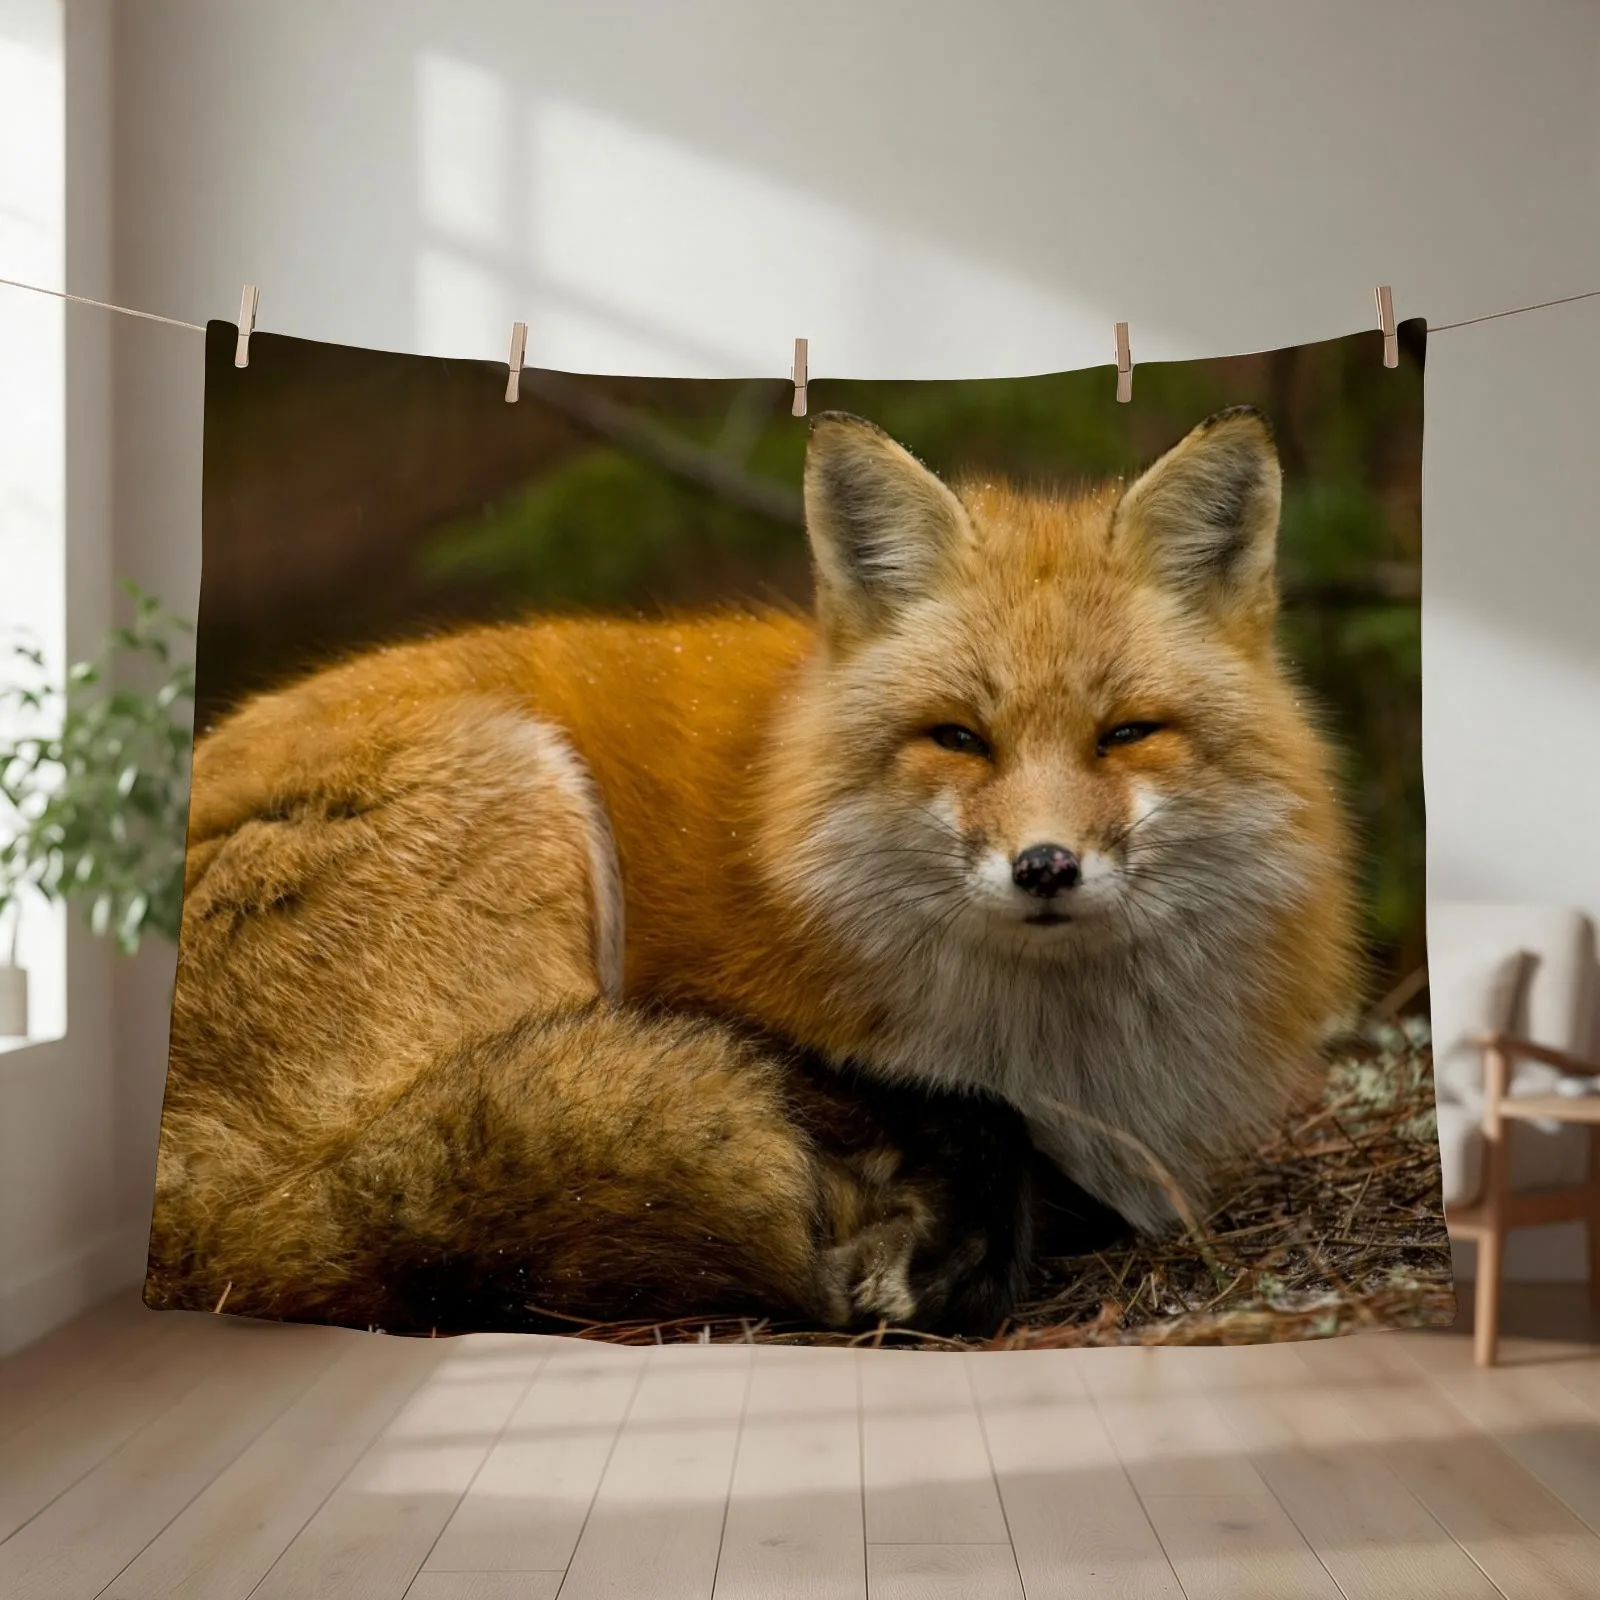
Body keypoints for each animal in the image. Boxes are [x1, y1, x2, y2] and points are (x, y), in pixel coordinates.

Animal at [146, 403, 1360, 1336]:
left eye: (1126, 735)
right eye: (959, 739)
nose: (1046, 866)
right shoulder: (748, 1020)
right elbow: (969, 1117)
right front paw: (934, 1244)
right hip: (522, 794)